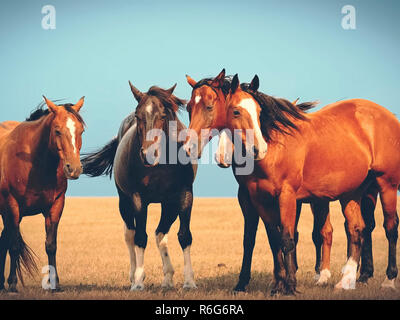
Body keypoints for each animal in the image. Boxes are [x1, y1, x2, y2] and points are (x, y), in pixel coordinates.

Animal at [0, 96, 84, 292]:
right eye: (57, 130)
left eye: (81, 130)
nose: (74, 168)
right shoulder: (12, 207)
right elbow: (14, 246)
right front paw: (13, 283)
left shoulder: (55, 207)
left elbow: (51, 246)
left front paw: (55, 284)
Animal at [81, 82, 198, 290]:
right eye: (138, 116)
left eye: (163, 115)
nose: (148, 154)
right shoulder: (137, 199)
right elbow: (140, 238)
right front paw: (138, 281)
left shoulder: (184, 196)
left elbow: (184, 236)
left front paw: (189, 281)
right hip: (124, 202)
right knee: (130, 234)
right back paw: (133, 275)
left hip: (169, 205)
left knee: (160, 234)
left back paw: (168, 278)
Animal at [184, 69, 334, 292]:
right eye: (188, 107)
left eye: (209, 106)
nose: (189, 147)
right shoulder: (248, 197)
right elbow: (254, 239)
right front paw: (246, 283)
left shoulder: (286, 198)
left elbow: (285, 236)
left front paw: (286, 282)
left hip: (320, 201)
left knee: (325, 232)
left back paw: (323, 275)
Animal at [219, 74, 400, 294]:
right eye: (236, 111)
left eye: (259, 112)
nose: (258, 148)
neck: (276, 146)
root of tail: (390, 117)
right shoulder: (259, 199)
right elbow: (271, 238)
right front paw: (276, 284)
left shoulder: (288, 197)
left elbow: (288, 238)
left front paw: (290, 286)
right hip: (352, 193)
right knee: (356, 229)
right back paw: (347, 281)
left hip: (386, 185)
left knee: (390, 228)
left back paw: (388, 279)